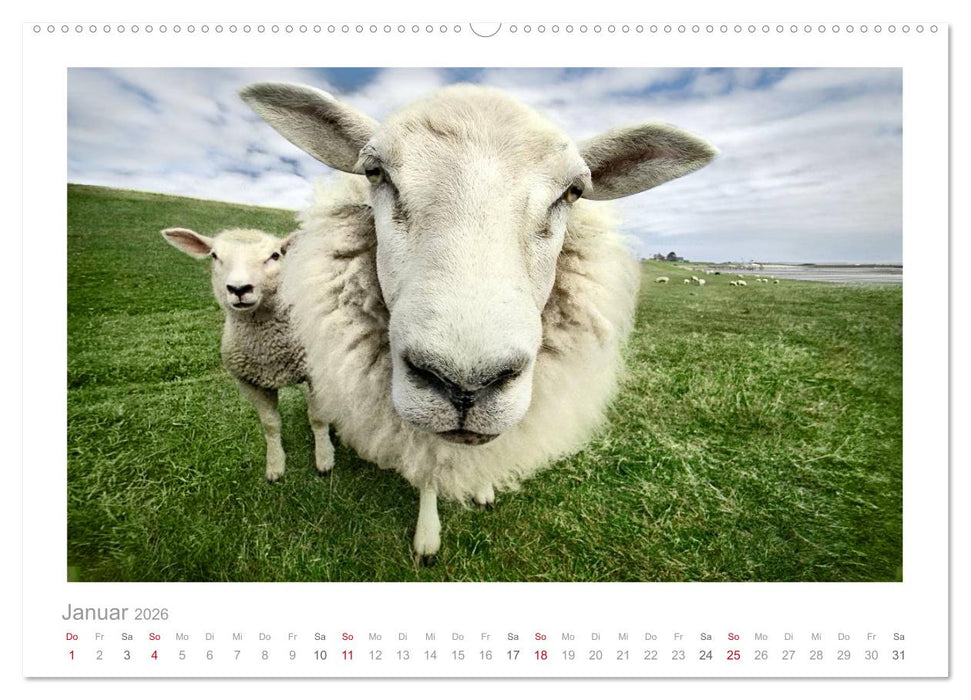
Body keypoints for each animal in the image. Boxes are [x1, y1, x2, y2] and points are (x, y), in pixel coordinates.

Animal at [161, 227, 335, 482]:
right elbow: (270, 424)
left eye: (274, 255)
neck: (269, 351)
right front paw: (275, 465)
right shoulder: (248, 382)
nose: (239, 289)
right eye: (214, 255)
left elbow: (318, 417)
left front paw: (324, 458)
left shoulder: (314, 373)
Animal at [241, 81, 716, 561]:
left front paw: (483, 488)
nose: (466, 386)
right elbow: (430, 464)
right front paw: (427, 536)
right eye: (374, 172)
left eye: (574, 191)